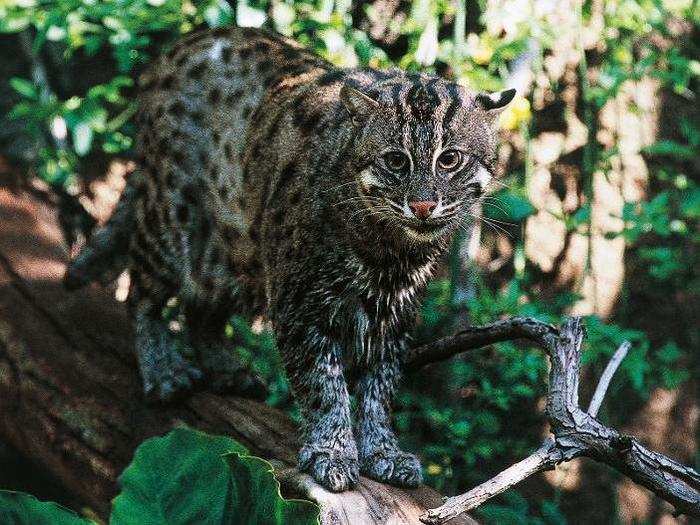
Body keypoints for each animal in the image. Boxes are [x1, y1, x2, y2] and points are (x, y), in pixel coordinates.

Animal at [65, 25, 516, 492]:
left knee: (201, 308)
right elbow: (324, 382)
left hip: (232, 249)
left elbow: (380, 386)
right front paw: (332, 451)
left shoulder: (394, 315)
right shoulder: (300, 302)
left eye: (450, 159)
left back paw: (225, 367)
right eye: (396, 160)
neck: (390, 252)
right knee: (143, 294)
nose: (423, 205)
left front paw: (382, 451)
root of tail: (181, 45)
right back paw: (163, 370)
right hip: (174, 218)